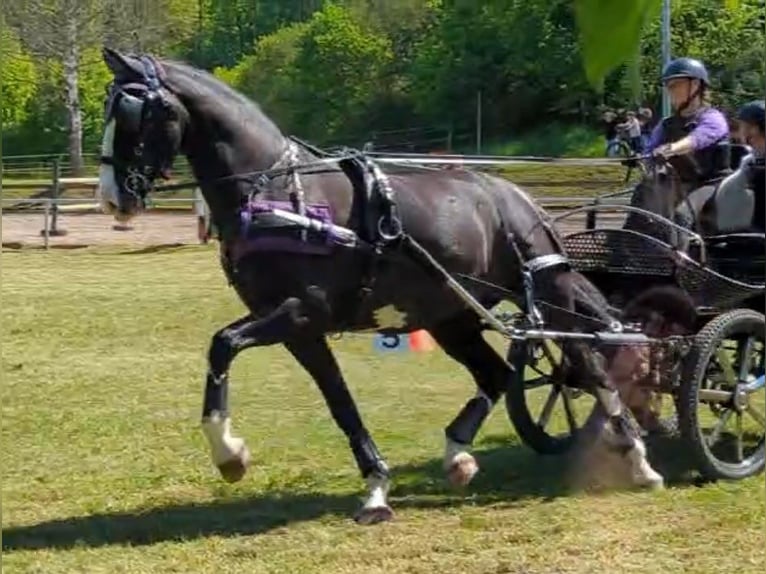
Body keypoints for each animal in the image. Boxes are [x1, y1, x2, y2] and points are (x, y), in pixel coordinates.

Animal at [97, 47, 674, 524]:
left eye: (134, 114)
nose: (111, 198)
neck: (278, 191)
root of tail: (519, 199)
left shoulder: (298, 311)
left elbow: (222, 344)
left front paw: (228, 453)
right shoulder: (299, 329)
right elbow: (340, 404)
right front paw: (375, 487)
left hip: (546, 294)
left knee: (591, 363)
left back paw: (639, 459)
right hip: (452, 316)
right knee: (497, 374)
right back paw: (458, 455)